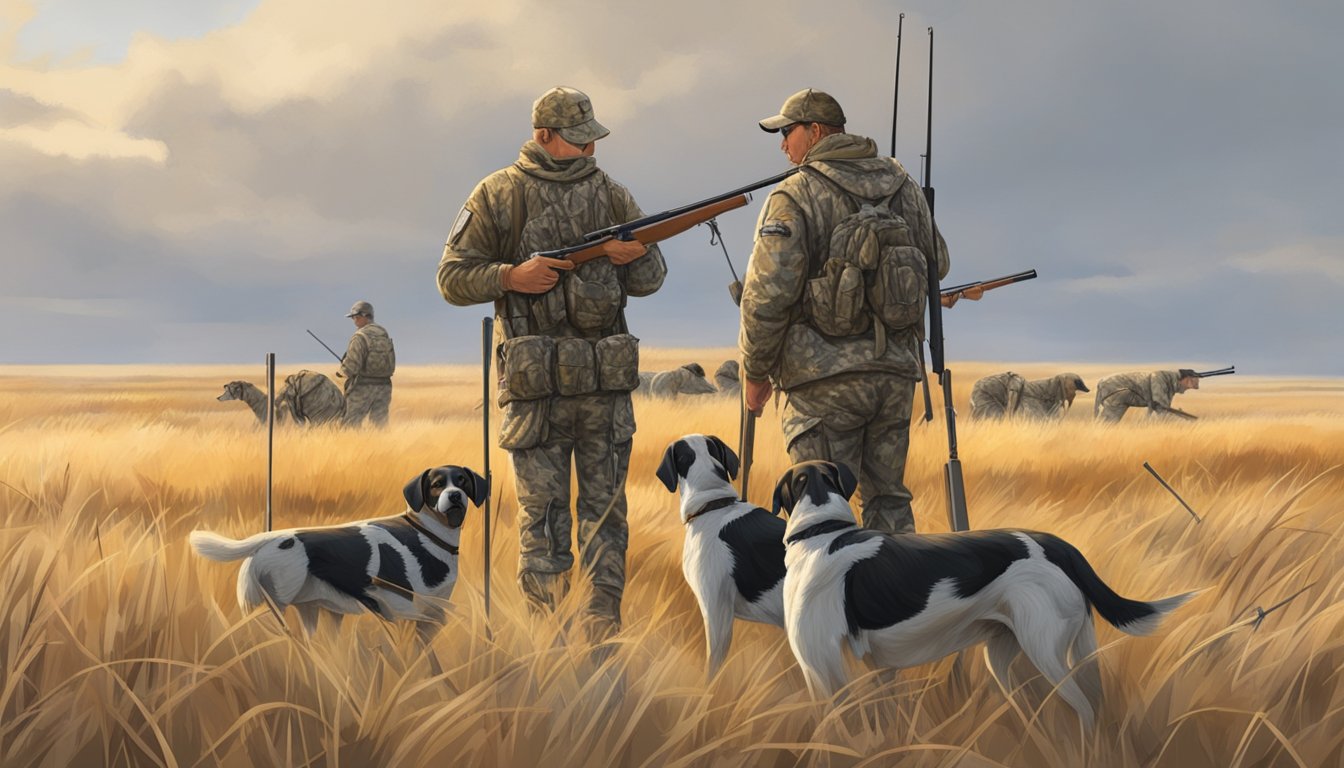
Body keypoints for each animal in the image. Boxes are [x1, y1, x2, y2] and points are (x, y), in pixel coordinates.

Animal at [186, 465, 486, 645]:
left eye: (462, 481)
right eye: (437, 484)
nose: (455, 496)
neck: (429, 533)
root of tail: (271, 538)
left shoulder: (432, 613)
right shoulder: (402, 611)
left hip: (309, 609)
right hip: (268, 608)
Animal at [774, 459, 1204, 731]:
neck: (822, 530)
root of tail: (1060, 545)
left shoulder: (821, 667)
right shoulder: (876, 670)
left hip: (1045, 650)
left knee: (1082, 708)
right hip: (1033, 653)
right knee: (1073, 707)